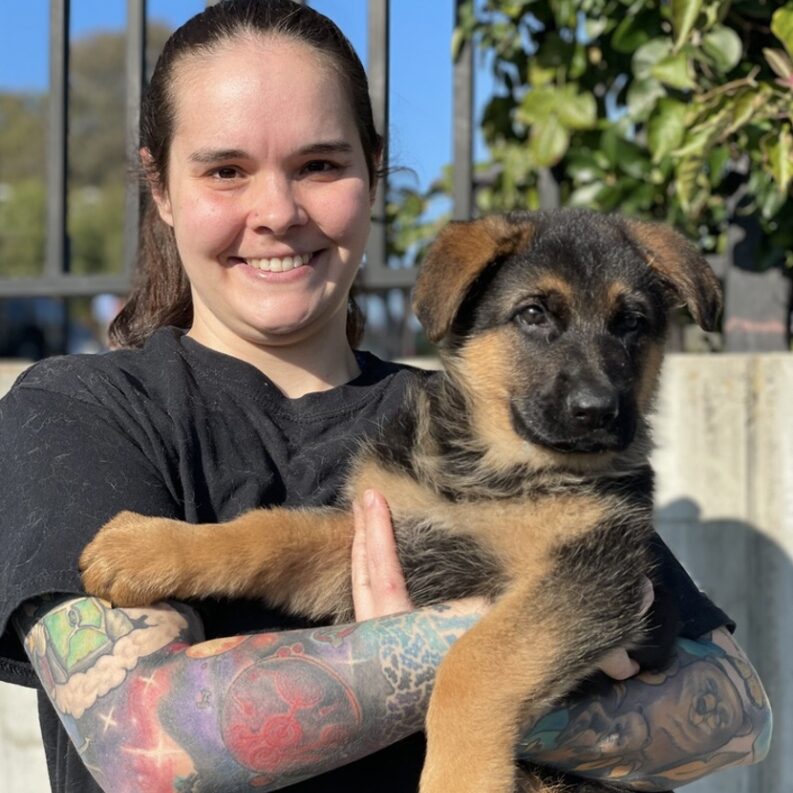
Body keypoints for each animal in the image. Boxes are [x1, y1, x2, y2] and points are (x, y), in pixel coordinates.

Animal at [82, 209, 724, 792]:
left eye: (632, 323)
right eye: (534, 314)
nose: (598, 412)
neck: (491, 471)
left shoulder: (594, 576)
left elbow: (473, 664)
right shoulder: (370, 533)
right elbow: (268, 531)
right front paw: (145, 547)